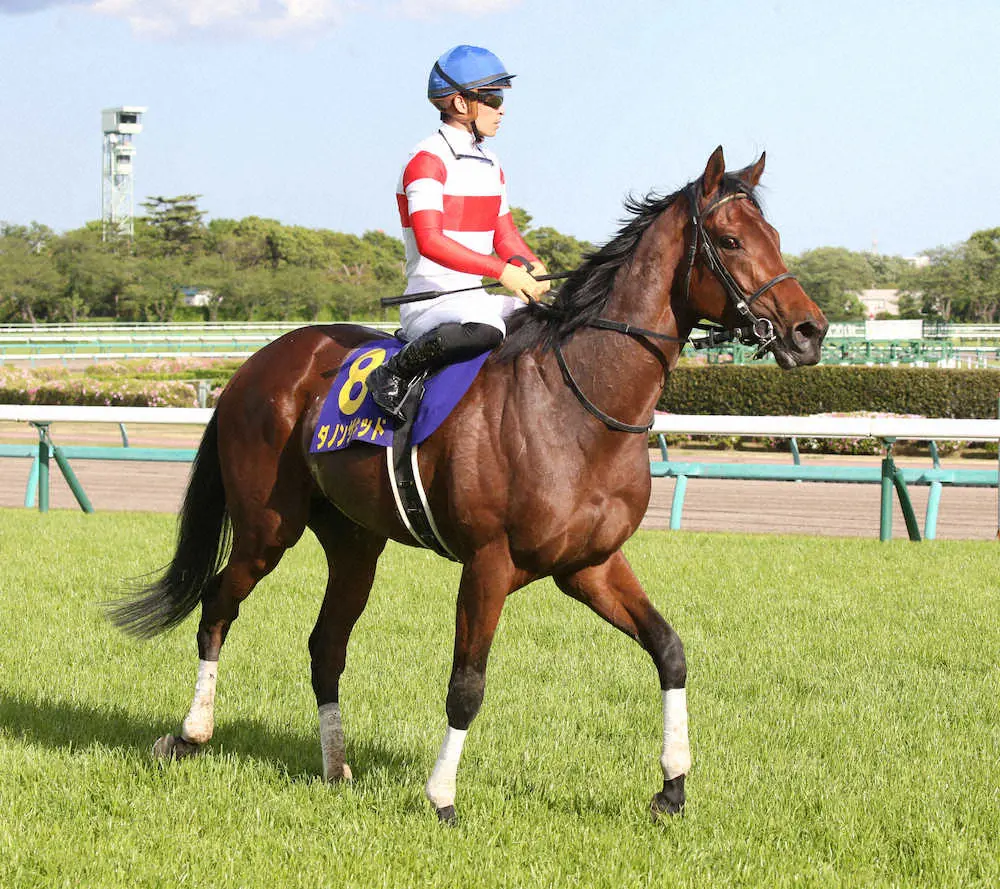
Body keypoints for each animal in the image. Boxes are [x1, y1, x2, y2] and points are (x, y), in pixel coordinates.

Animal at [109, 146, 828, 820]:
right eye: (731, 241)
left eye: (775, 236)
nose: (810, 330)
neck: (577, 404)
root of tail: (253, 364)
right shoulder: (489, 561)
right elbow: (467, 684)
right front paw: (440, 796)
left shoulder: (591, 563)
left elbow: (670, 650)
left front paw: (673, 786)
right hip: (267, 527)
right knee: (217, 604)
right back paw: (190, 733)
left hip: (355, 543)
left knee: (325, 644)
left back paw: (334, 766)